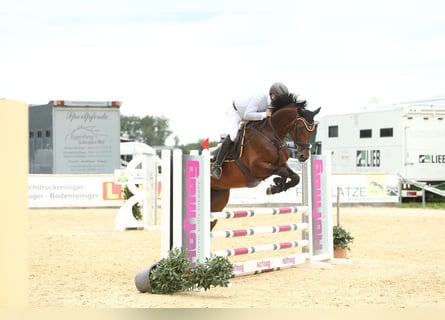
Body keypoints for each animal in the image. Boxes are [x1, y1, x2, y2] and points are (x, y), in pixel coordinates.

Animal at [211, 92, 320, 230]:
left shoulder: (281, 164)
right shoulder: (257, 168)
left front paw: (276, 185)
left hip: (218, 199)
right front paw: (275, 186)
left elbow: (295, 177)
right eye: (300, 127)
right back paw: (216, 170)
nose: (303, 156)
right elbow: (283, 172)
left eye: (313, 129)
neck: (272, 135)